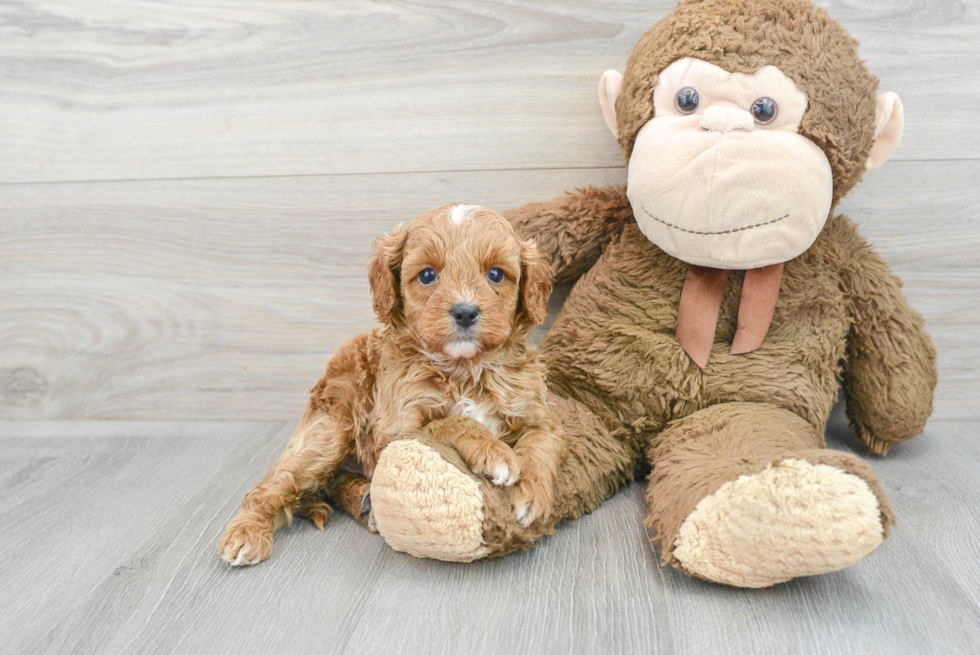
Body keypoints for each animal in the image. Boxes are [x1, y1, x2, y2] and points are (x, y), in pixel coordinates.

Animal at [217, 202, 564, 568]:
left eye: (496, 274)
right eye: (427, 275)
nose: (465, 313)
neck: (465, 370)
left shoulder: (539, 413)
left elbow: (541, 445)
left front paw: (533, 496)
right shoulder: (396, 431)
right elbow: (450, 421)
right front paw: (494, 453)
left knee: (333, 482)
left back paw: (364, 500)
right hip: (327, 432)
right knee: (274, 484)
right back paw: (246, 533)